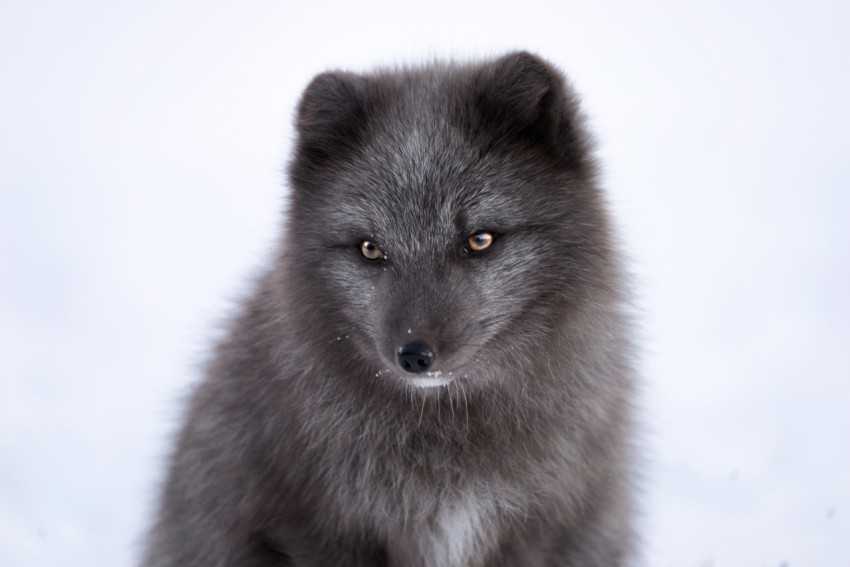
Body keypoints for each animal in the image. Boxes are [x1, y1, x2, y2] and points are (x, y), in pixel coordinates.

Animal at [142, 51, 638, 566]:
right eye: (370, 249)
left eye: (479, 239)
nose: (414, 355)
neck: (445, 439)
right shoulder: (318, 528)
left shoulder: (538, 526)